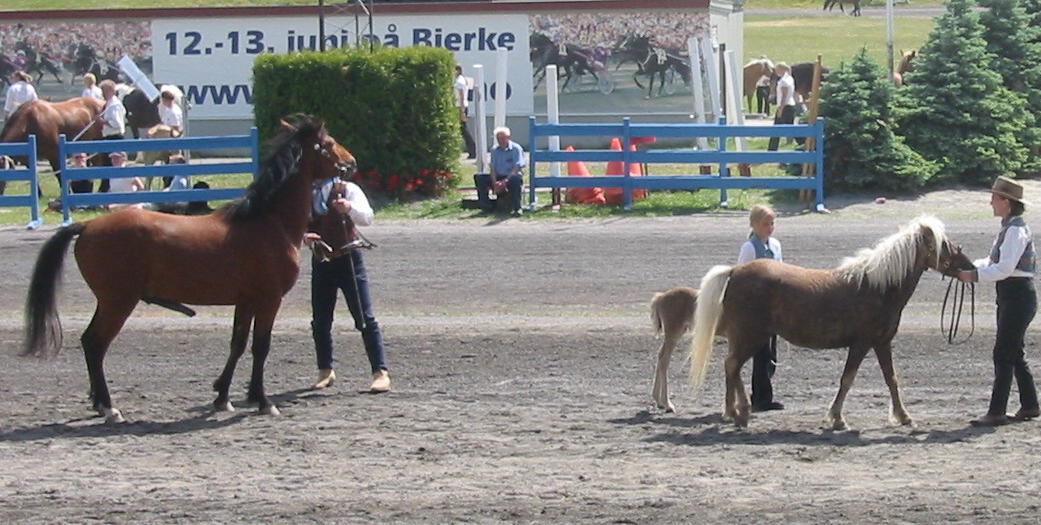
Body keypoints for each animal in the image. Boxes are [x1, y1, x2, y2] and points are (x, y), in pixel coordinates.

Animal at [23, 114, 358, 422]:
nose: (351, 162)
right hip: (117, 303)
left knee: (89, 343)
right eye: (329, 143)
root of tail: (88, 225)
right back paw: (108, 407)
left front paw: (223, 396)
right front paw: (263, 401)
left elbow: (238, 344)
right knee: (95, 344)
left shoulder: (246, 301)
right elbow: (261, 347)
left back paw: (98, 403)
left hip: (109, 302)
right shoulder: (269, 300)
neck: (268, 222)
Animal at [687, 215, 970, 429]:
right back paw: (742, 413)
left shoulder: (882, 343)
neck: (877, 287)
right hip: (750, 337)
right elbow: (847, 379)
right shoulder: (861, 344)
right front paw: (837, 418)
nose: (969, 267)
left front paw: (903, 416)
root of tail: (734, 272)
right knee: (732, 365)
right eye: (944, 244)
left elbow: (892, 379)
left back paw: (731, 412)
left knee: (730, 368)